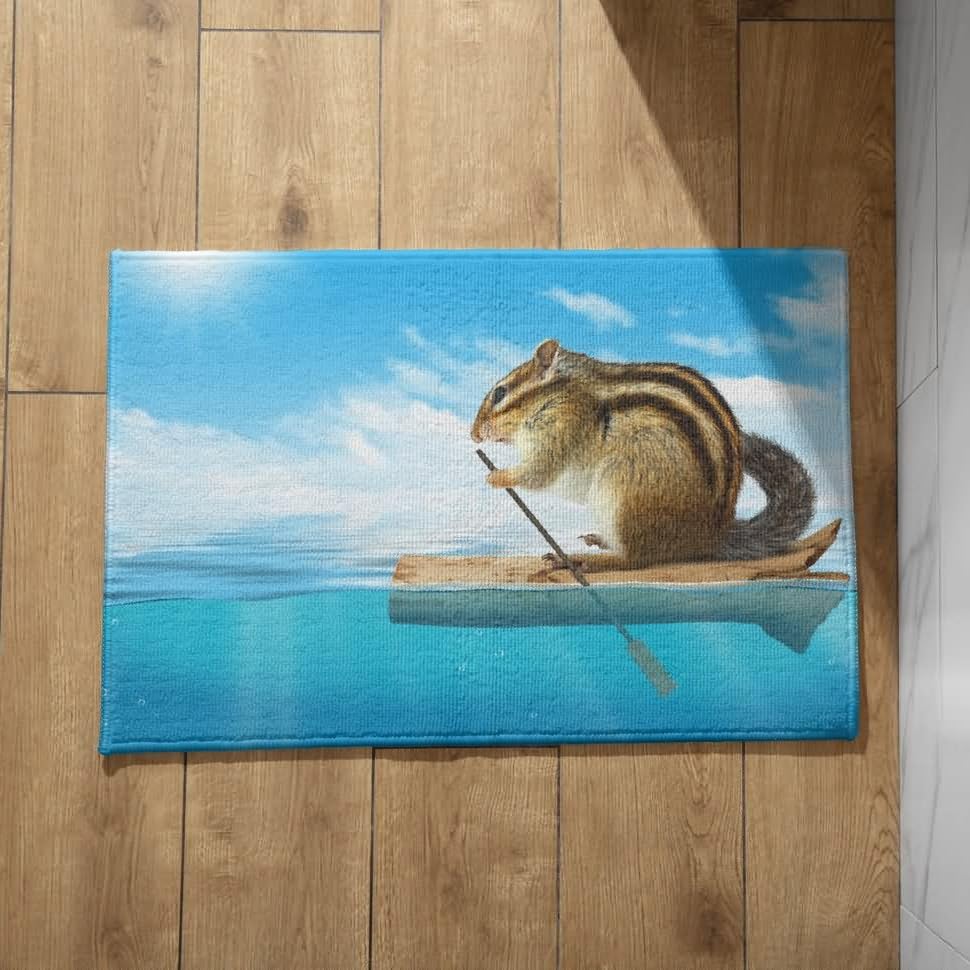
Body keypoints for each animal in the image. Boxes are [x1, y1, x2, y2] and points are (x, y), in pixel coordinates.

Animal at [470, 338, 815, 571]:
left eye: (500, 393)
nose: (473, 435)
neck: (559, 393)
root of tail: (709, 536)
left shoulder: (564, 428)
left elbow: (539, 473)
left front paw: (497, 475)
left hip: (625, 495)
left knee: (636, 559)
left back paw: (584, 561)